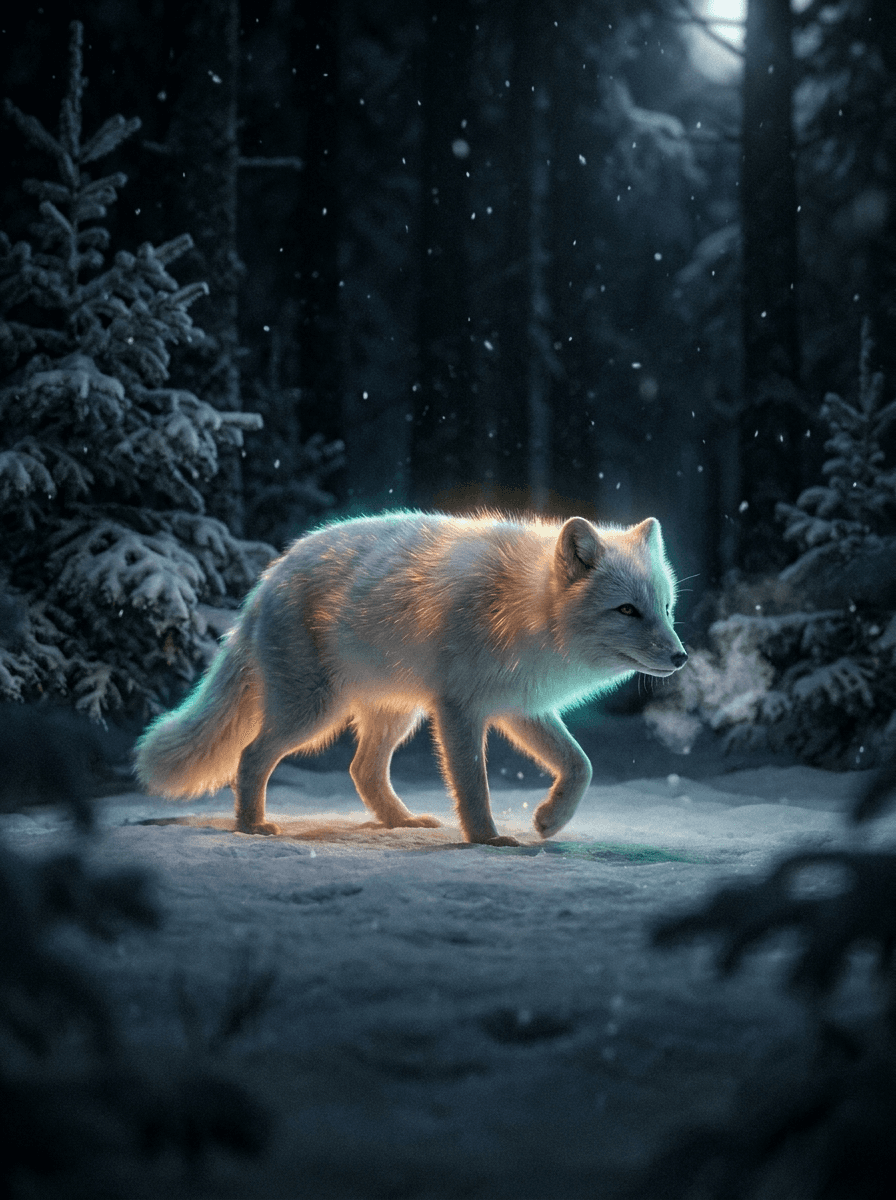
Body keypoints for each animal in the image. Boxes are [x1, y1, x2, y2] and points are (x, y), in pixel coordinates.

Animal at [135, 511, 687, 845]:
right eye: (627, 610)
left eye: (664, 608)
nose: (681, 657)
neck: (525, 608)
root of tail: (269, 576)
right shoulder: (460, 709)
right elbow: (473, 784)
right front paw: (487, 840)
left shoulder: (519, 707)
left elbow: (581, 766)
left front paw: (549, 821)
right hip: (311, 715)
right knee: (251, 757)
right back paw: (251, 827)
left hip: (394, 715)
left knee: (361, 769)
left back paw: (400, 823)